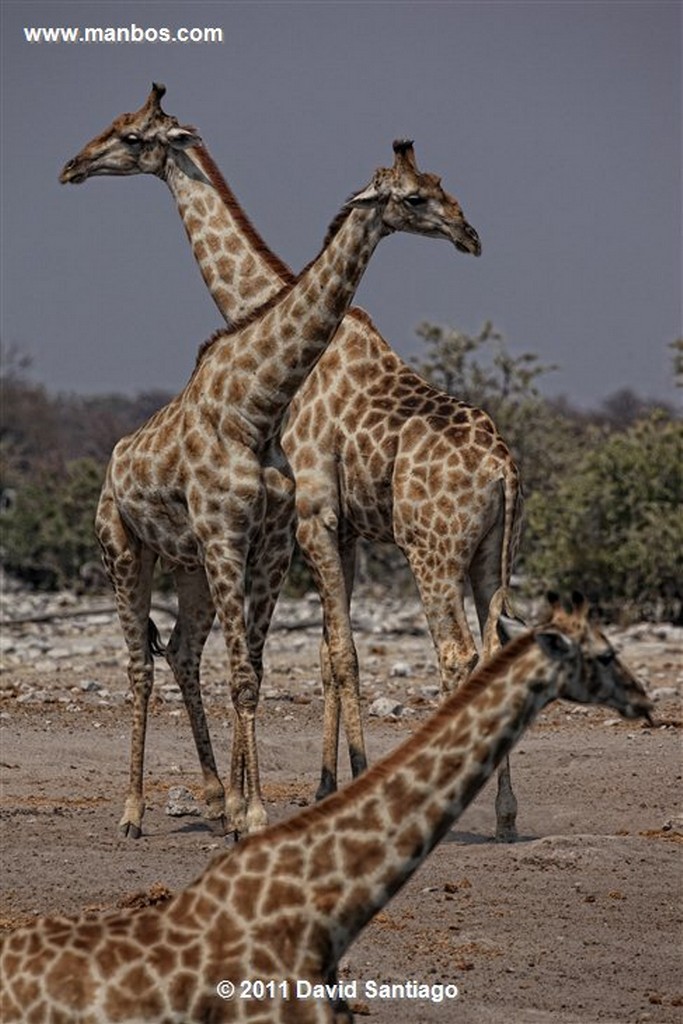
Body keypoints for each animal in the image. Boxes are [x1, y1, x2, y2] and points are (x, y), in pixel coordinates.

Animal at [61, 83, 528, 839]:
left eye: (130, 136)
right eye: (423, 191)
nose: (73, 165)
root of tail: (505, 470)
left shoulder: (311, 518)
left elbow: (336, 655)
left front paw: (326, 788)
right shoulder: (335, 529)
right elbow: (322, 655)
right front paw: (317, 786)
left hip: (432, 548)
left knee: (457, 656)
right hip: (492, 553)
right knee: (491, 652)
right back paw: (505, 812)